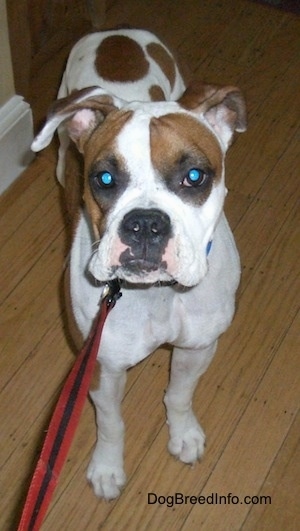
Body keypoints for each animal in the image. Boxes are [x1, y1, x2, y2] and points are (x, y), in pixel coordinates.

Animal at [31, 27, 246, 500]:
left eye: (195, 177)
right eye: (104, 179)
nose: (145, 223)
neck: (157, 294)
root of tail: (116, 34)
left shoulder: (198, 346)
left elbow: (179, 394)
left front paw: (183, 434)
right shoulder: (100, 367)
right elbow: (111, 423)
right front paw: (107, 468)